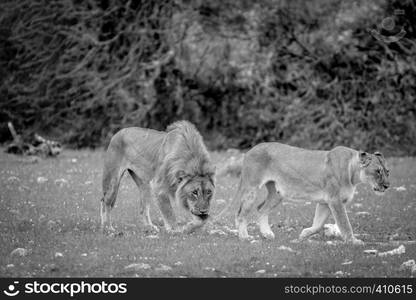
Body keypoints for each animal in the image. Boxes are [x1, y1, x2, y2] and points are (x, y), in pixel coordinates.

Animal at [214, 144, 390, 245]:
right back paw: (244, 237)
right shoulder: (335, 200)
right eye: (377, 171)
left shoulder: (325, 202)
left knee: (261, 209)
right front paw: (354, 241)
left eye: (387, 171)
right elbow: (345, 224)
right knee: (241, 214)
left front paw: (303, 234)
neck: (353, 174)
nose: (387, 186)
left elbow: (318, 225)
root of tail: (251, 150)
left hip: (277, 194)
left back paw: (267, 234)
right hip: (252, 187)